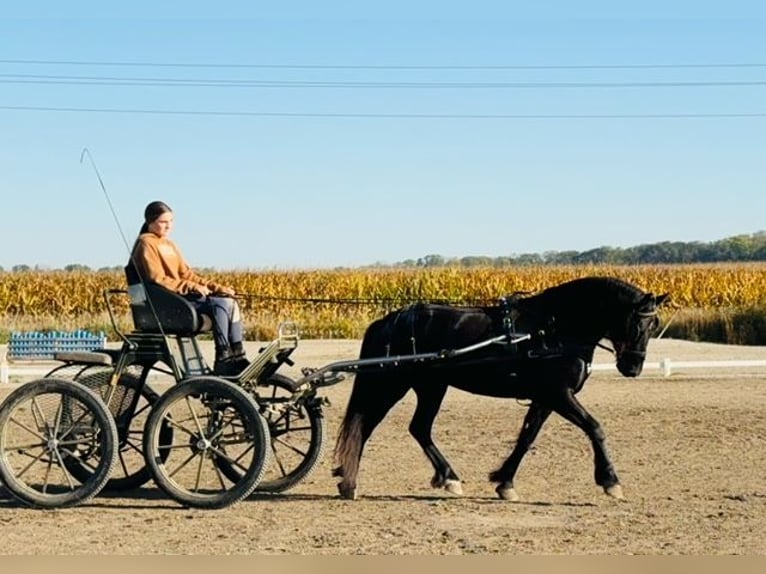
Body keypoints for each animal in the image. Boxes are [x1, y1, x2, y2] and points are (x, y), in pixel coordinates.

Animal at [332, 276, 668, 502]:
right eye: (636, 324)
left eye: (654, 326)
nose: (633, 368)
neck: (553, 328)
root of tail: (391, 319)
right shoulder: (559, 394)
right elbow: (594, 427)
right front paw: (610, 480)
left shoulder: (546, 397)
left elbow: (527, 437)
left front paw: (505, 482)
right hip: (392, 384)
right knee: (366, 425)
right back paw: (348, 482)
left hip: (432, 386)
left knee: (419, 428)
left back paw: (447, 477)